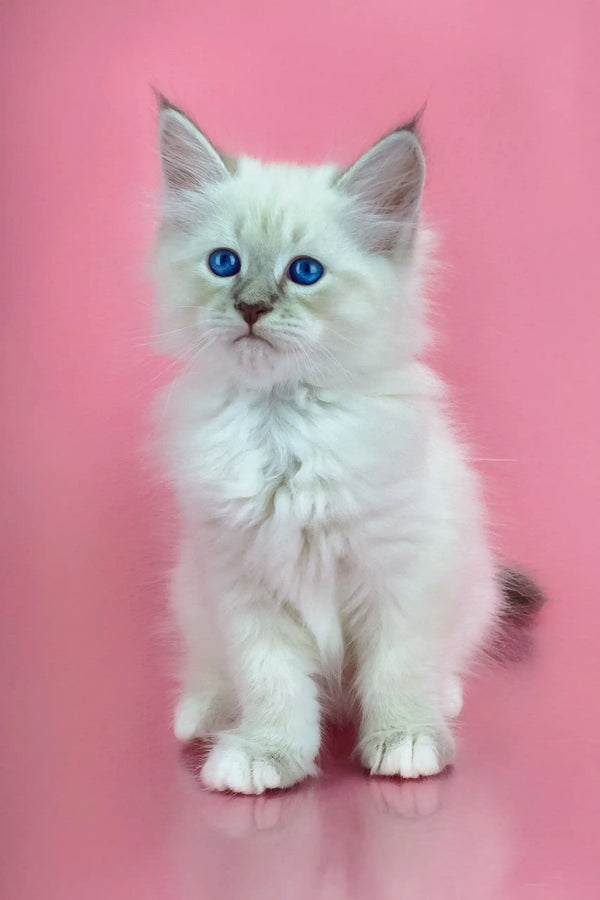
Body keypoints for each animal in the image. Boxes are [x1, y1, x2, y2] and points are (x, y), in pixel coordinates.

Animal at [154, 98, 540, 796]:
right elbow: (271, 683)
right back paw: (202, 714)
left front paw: (407, 741)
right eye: (224, 263)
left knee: (445, 660)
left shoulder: (403, 573)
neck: (285, 424)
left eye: (304, 272)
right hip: (190, 591)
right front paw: (267, 753)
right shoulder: (241, 585)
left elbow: (397, 670)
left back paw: (443, 699)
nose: (250, 307)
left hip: (476, 588)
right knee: (210, 668)